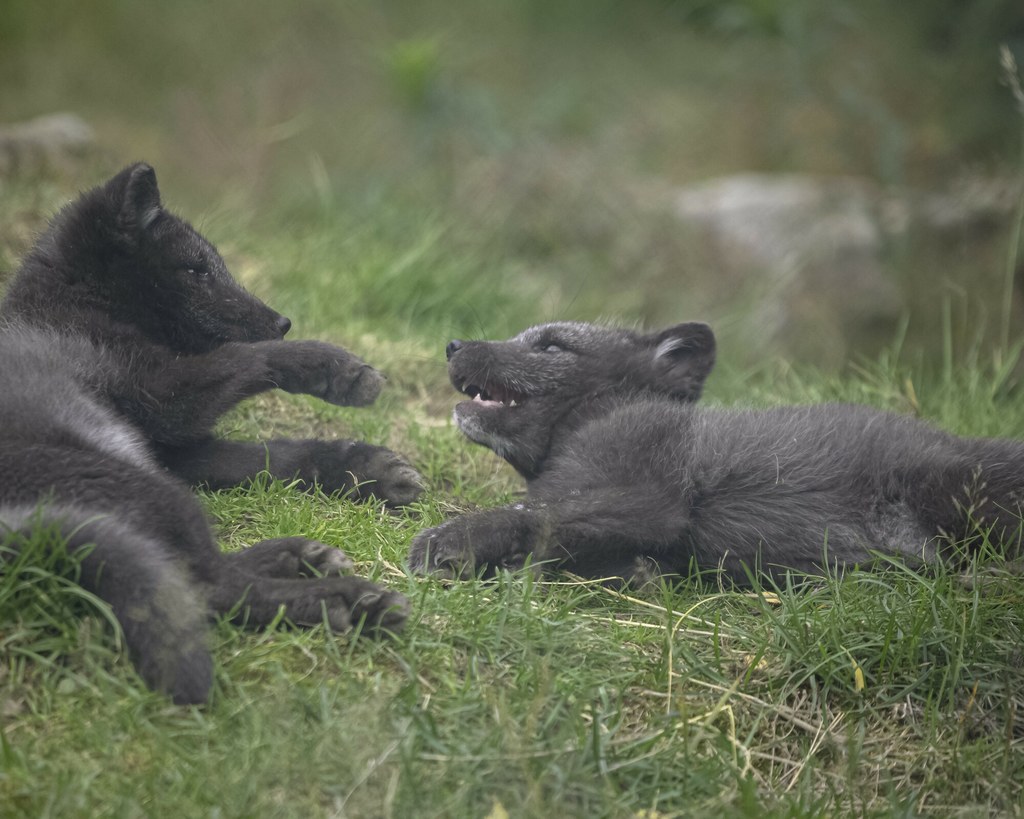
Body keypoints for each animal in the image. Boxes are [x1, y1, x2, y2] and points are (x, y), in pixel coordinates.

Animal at [1, 161, 415, 704]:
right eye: (195, 270)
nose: (282, 322)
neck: (72, 308)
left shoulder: (169, 447)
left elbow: (271, 457)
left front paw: (365, 467)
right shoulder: (164, 397)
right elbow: (246, 359)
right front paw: (334, 367)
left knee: (193, 568)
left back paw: (300, 557)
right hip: (136, 484)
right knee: (208, 585)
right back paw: (347, 601)